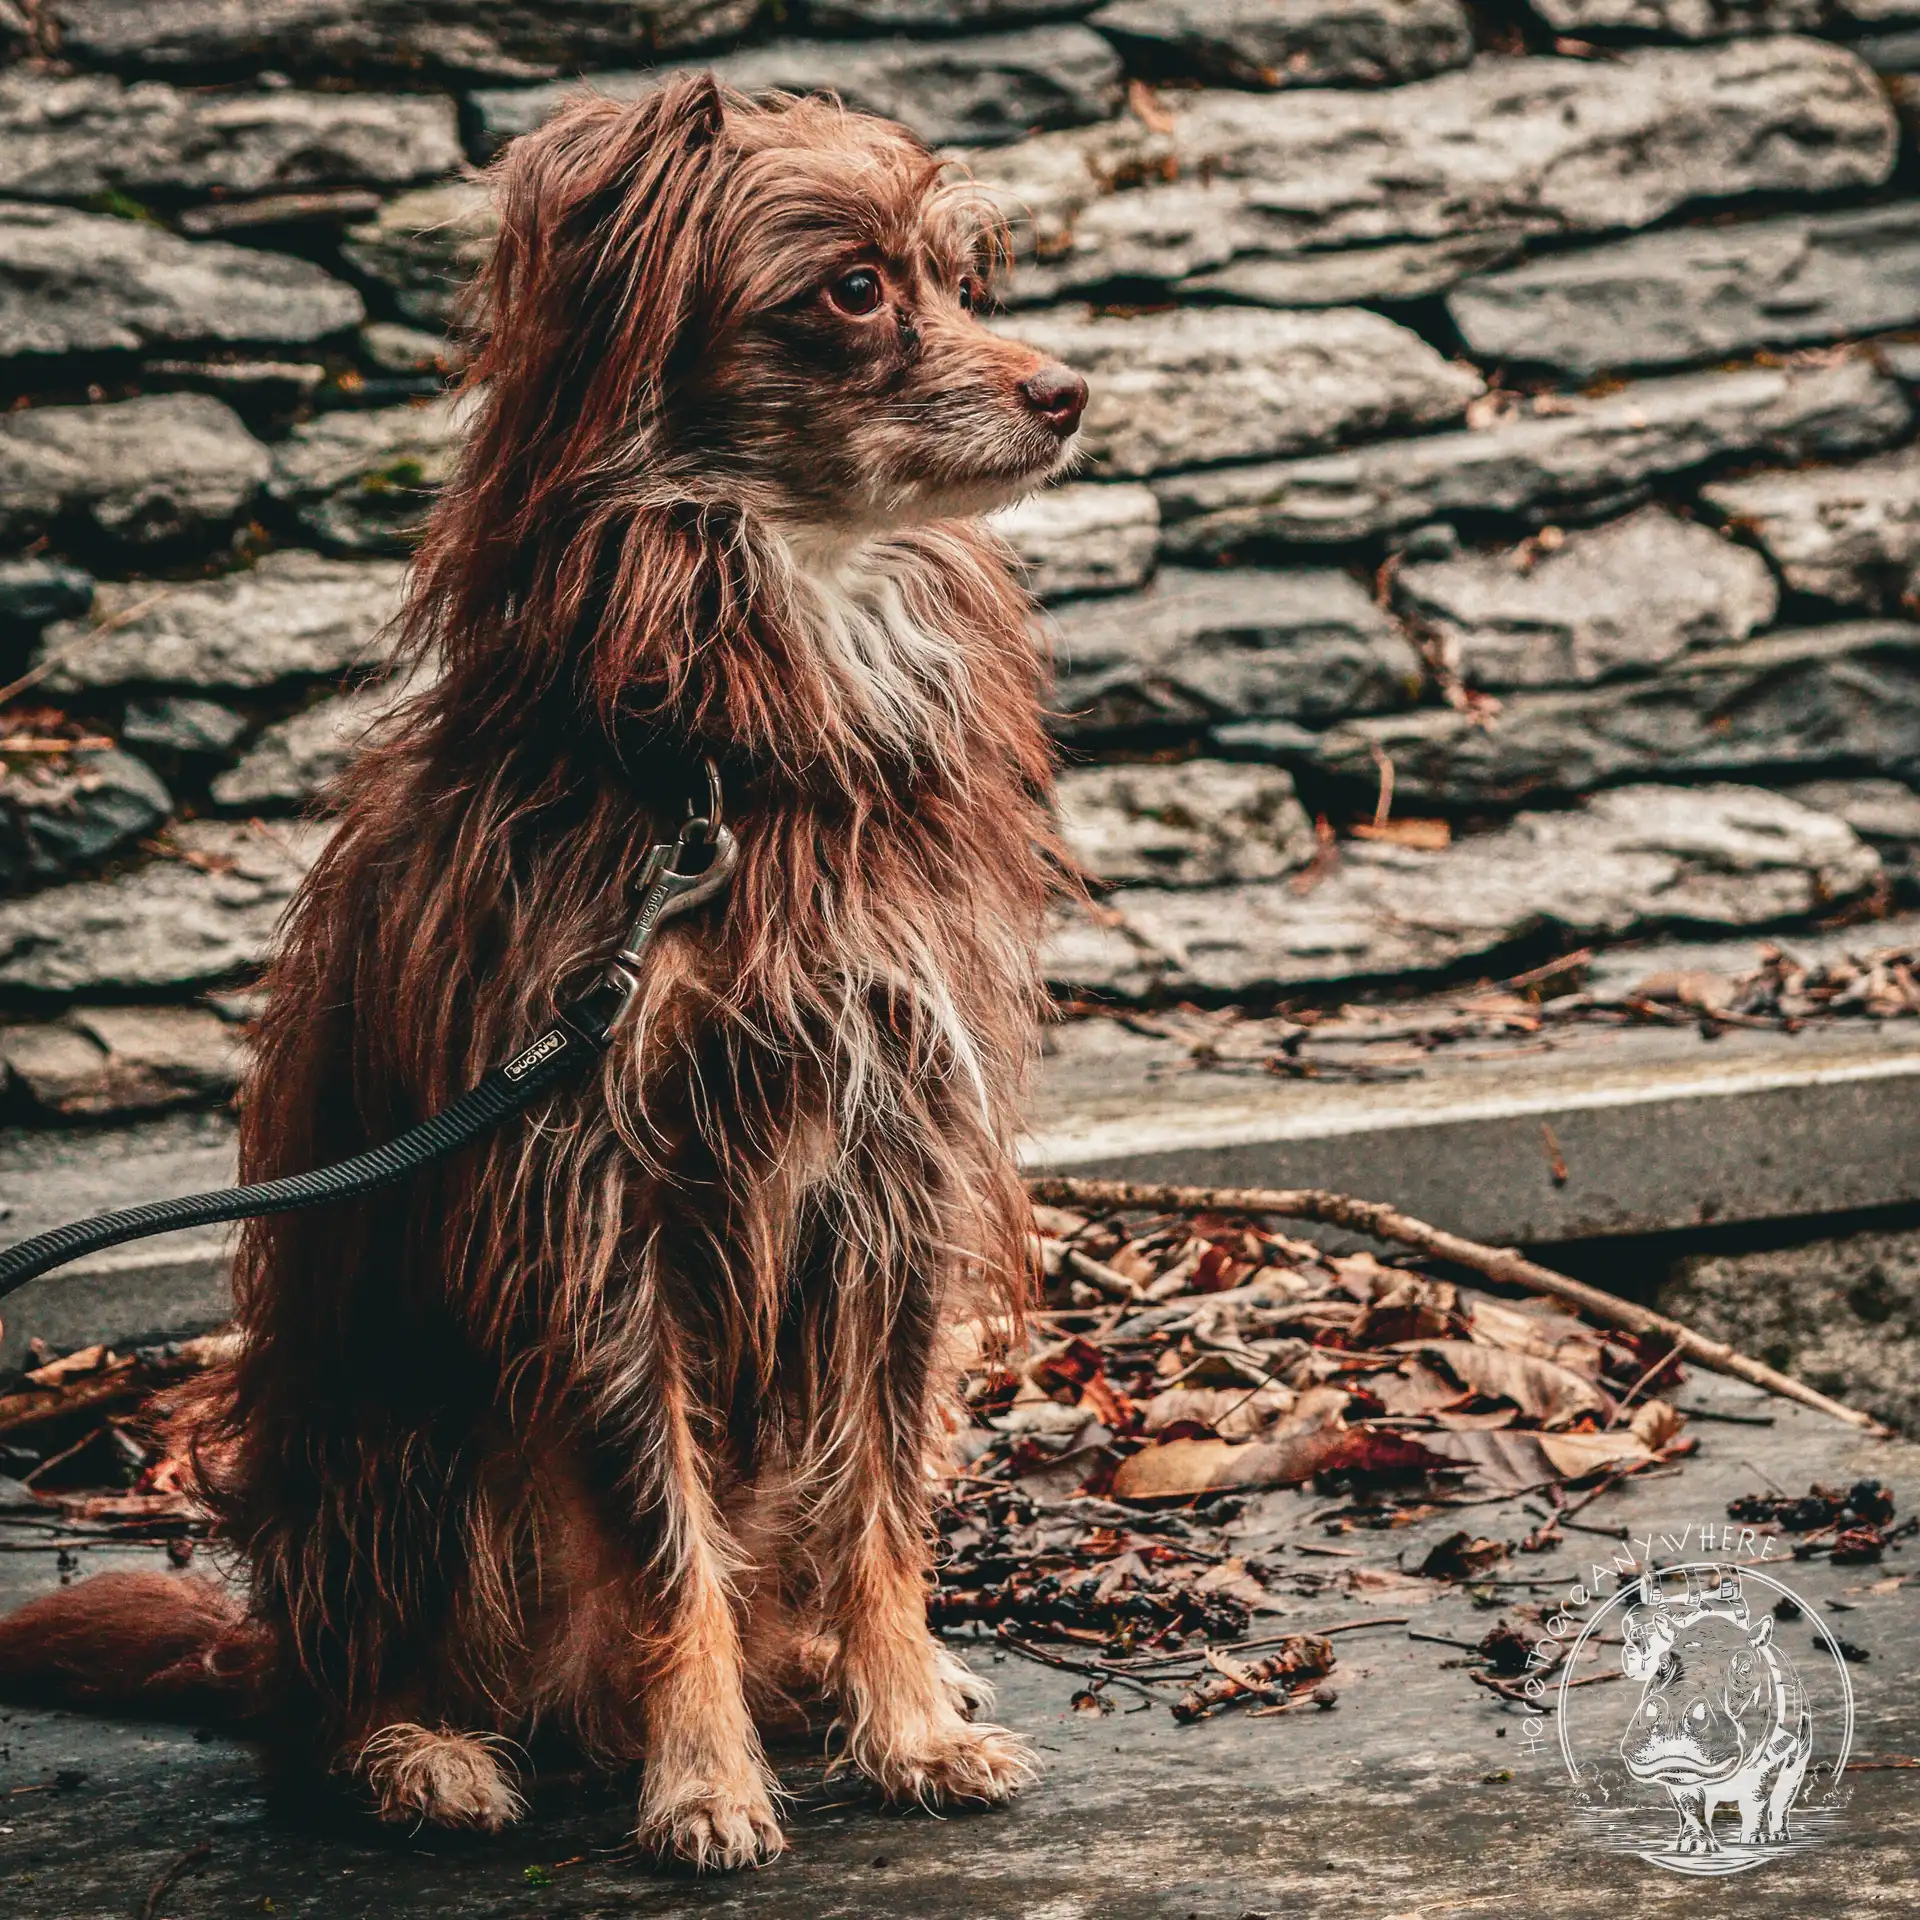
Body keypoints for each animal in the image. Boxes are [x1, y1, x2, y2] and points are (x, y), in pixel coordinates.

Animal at [0, 82, 1082, 1866]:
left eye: (956, 276)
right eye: (854, 291)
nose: (1067, 393)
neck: (726, 768)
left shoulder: (894, 1158)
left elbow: (876, 1498)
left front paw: (909, 1721)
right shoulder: (585, 1194)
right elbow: (662, 1538)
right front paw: (704, 1774)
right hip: (401, 1451)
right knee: (338, 1699)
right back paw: (423, 1747)